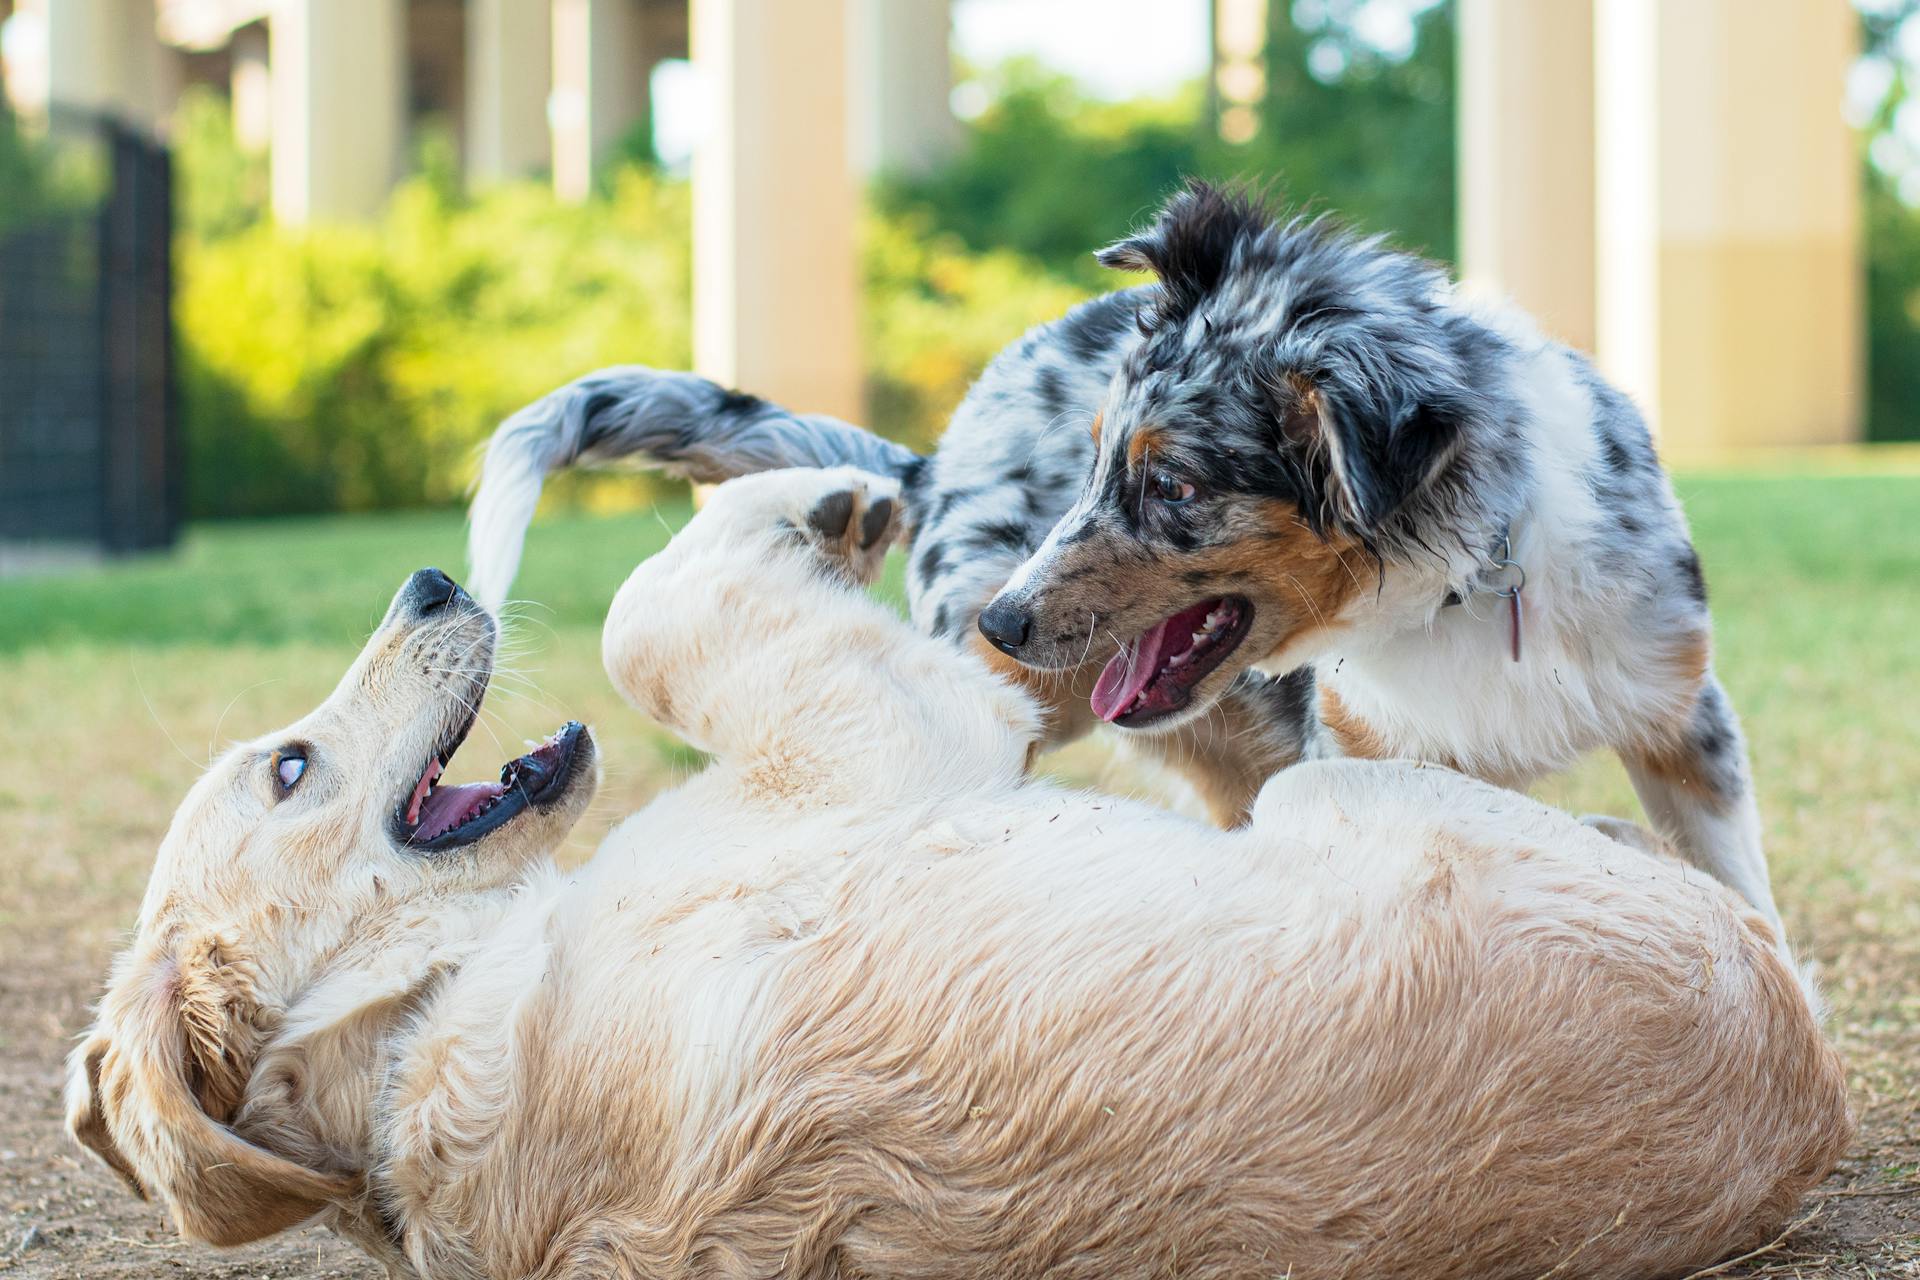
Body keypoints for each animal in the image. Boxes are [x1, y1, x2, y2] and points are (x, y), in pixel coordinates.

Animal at [71, 470, 1843, 1280]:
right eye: (289, 767)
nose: (436, 574)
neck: (416, 1025)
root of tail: (1809, 1091)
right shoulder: (895, 733)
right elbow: (658, 618)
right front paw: (815, 504)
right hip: (1350, 789)